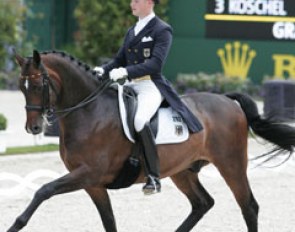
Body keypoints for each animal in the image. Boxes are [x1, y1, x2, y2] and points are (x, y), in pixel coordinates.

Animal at [8, 49, 294, 232]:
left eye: (37, 86)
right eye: (21, 87)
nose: (33, 127)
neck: (89, 112)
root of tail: (227, 99)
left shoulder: (89, 173)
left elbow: (43, 190)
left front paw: (15, 224)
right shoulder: (93, 183)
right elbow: (109, 221)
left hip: (231, 164)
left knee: (249, 207)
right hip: (182, 171)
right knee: (202, 204)